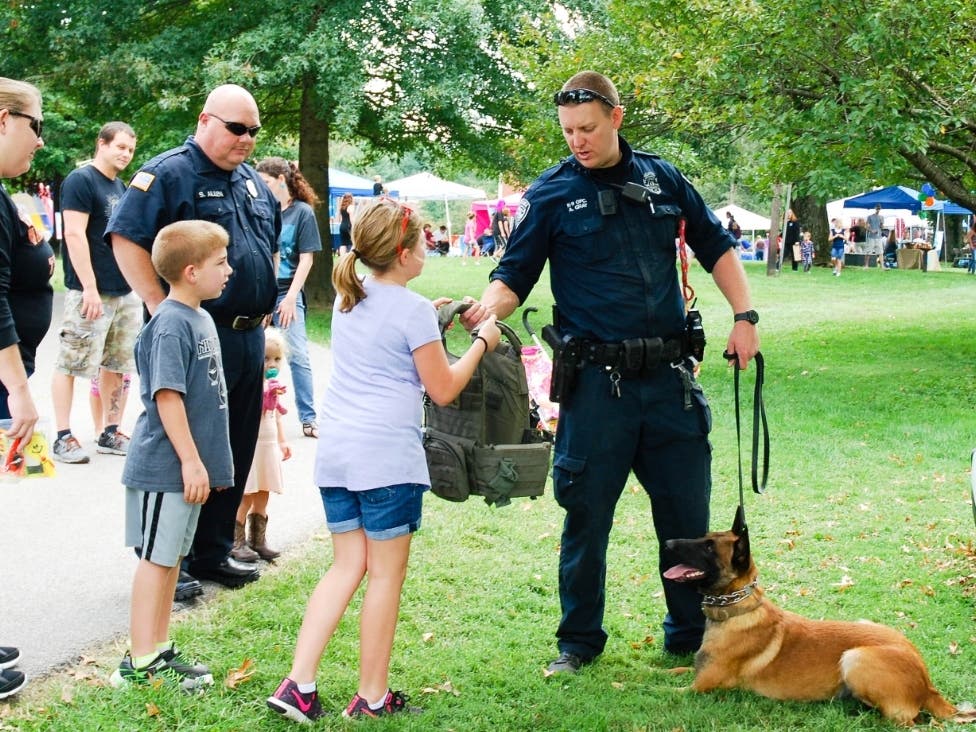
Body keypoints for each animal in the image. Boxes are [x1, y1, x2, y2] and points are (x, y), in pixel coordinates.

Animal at [660, 508, 972, 728]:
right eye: (703, 537)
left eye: (709, 547)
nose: (668, 542)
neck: (737, 609)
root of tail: (928, 683)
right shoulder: (695, 672)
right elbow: (669, 671)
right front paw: (655, 670)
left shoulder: (698, 687)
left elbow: (660, 690)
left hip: (855, 657)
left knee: (906, 720)